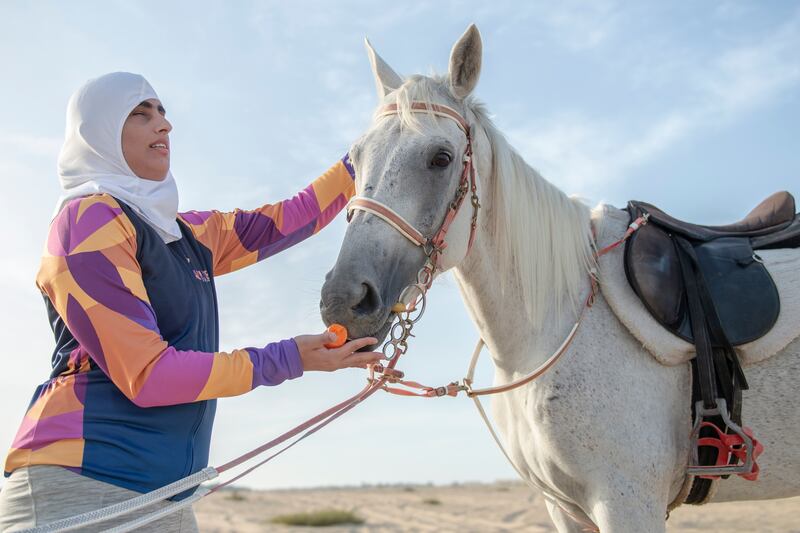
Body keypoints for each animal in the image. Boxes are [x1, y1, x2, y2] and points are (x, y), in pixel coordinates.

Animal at [318, 26, 800, 532]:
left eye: (441, 158)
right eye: (355, 159)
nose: (343, 300)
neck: (552, 324)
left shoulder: (627, 501)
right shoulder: (565, 506)